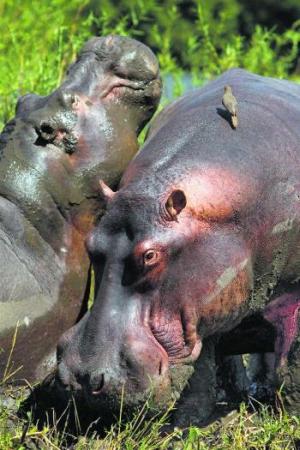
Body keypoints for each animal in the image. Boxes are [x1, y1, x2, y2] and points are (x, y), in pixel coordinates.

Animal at [56, 68, 300, 424]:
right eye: (91, 245)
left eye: (150, 255)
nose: (83, 378)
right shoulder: (200, 309)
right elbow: (199, 378)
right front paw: (187, 425)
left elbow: (291, 369)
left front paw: (290, 414)